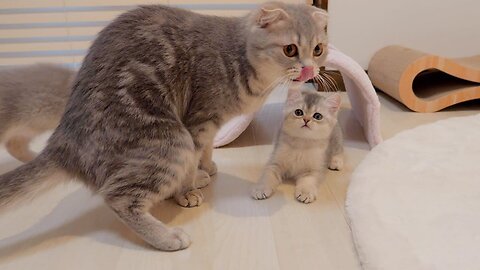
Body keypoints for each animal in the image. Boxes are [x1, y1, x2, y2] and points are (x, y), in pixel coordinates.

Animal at [0, 2, 328, 251]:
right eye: (289, 49)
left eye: (318, 49)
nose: (310, 69)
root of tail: (64, 137)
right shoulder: (198, 122)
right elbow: (194, 158)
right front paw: (187, 191)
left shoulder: (210, 124)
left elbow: (206, 151)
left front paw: (205, 169)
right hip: (170, 142)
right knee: (119, 198)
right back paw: (168, 237)